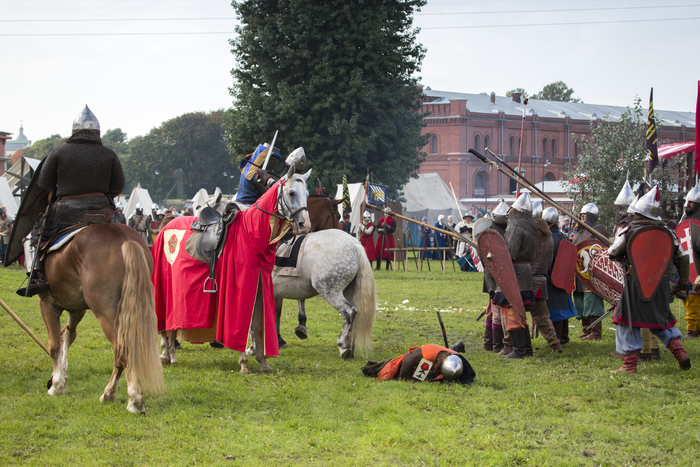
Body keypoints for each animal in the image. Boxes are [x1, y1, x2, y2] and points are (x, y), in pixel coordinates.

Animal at [41, 223, 165, 414]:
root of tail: (124, 238)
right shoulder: (76, 309)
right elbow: (67, 336)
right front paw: (61, 375)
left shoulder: (48, 304)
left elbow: (54, 346)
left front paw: (56, 385)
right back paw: (110, 394)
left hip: (104, 313)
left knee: (123, 349)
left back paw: (133, 399)